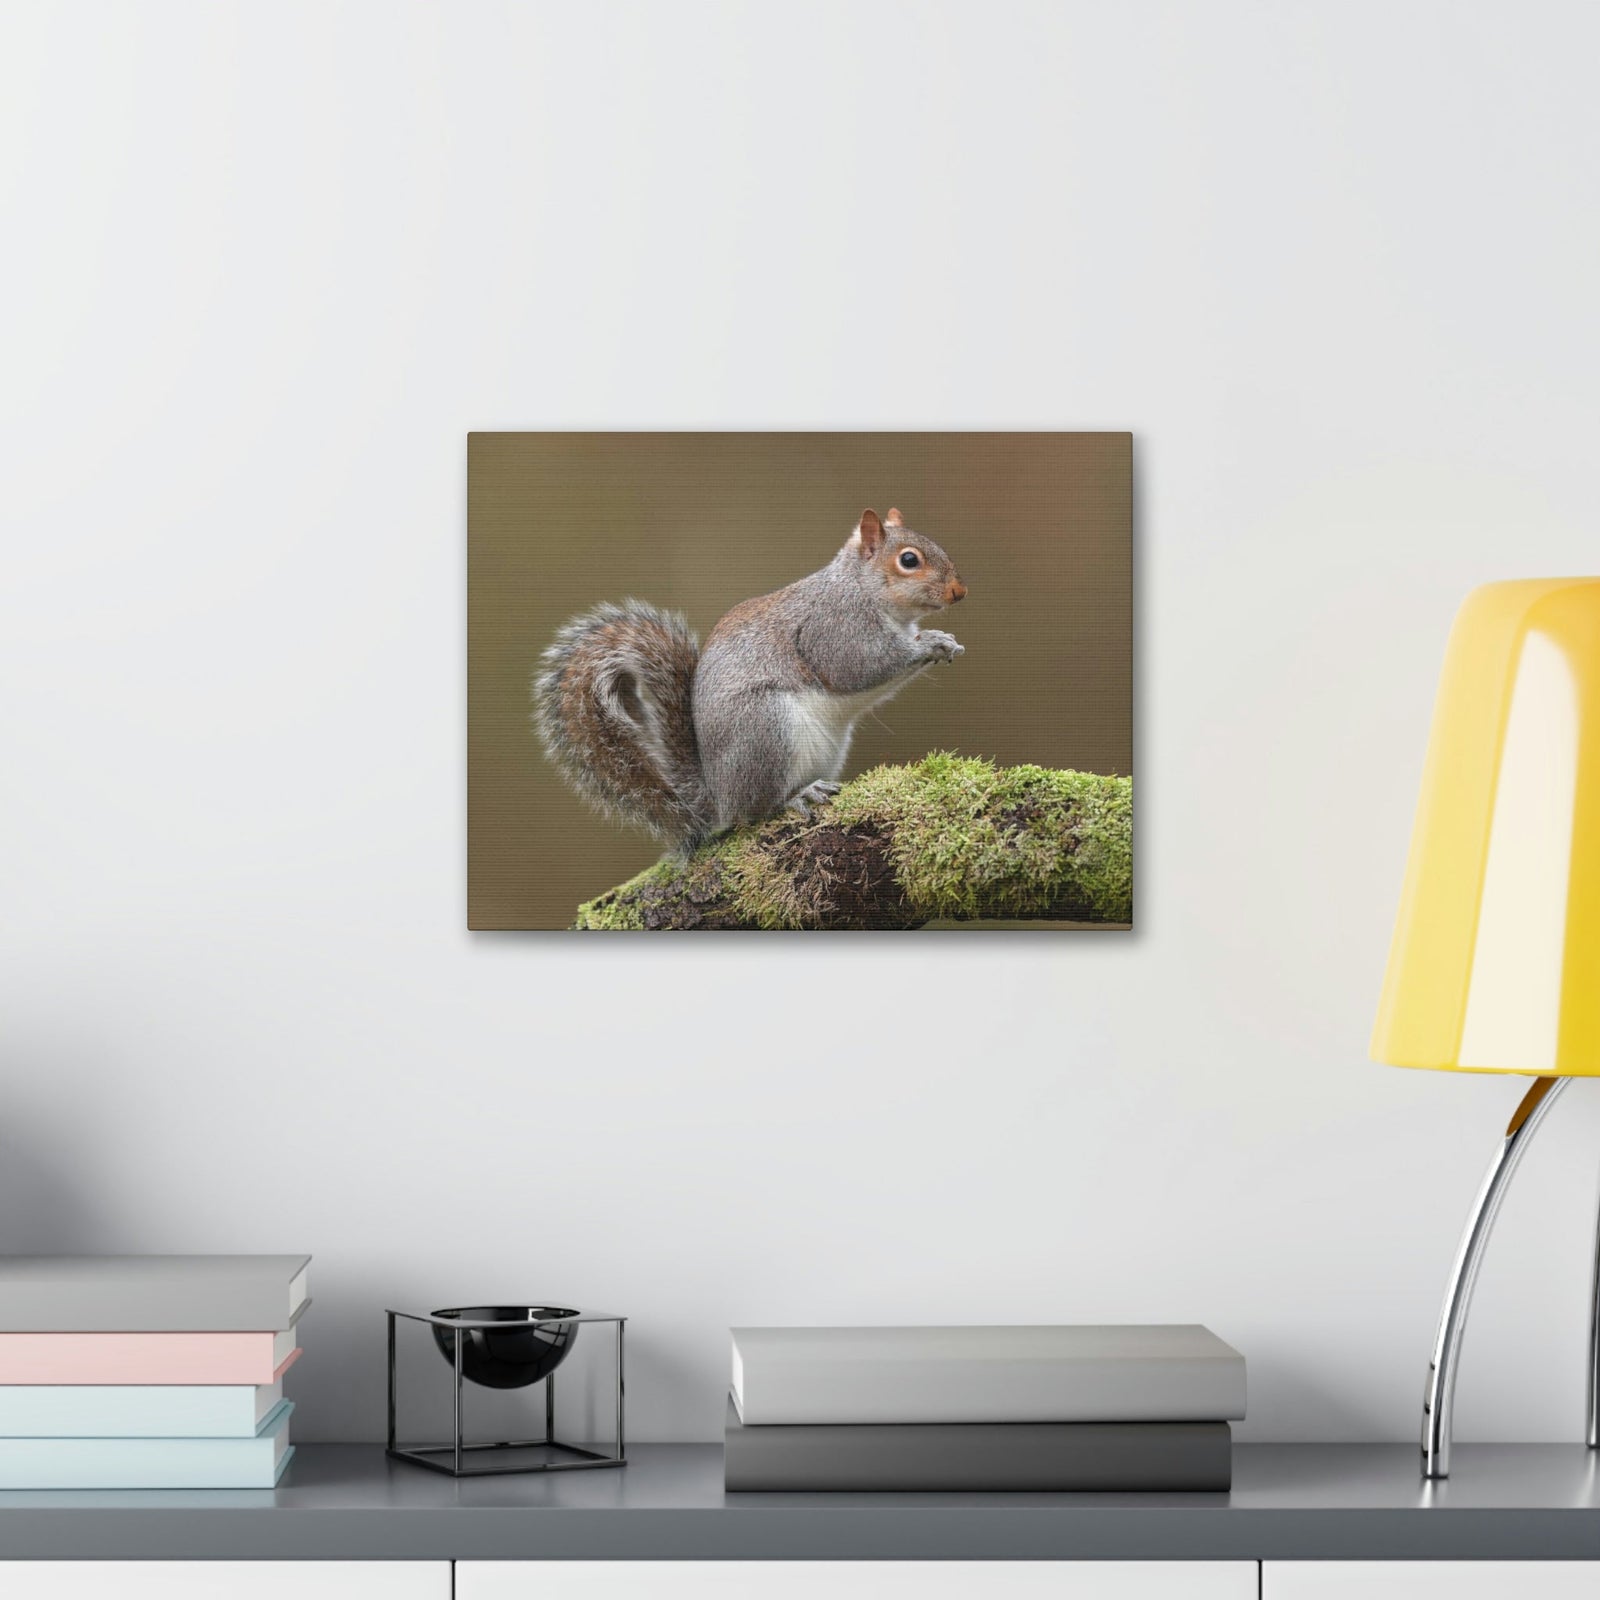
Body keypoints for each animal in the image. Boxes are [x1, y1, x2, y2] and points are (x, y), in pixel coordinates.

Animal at [533, 507, 967, 852]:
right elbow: (856, 667)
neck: (860, 588)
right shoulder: (831, 628)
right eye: (908, 560)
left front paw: (943, 641)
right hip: (765, 729)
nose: (959, 592)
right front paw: (928, 643)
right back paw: (797, 796)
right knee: (756, 809)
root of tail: (718, 794)